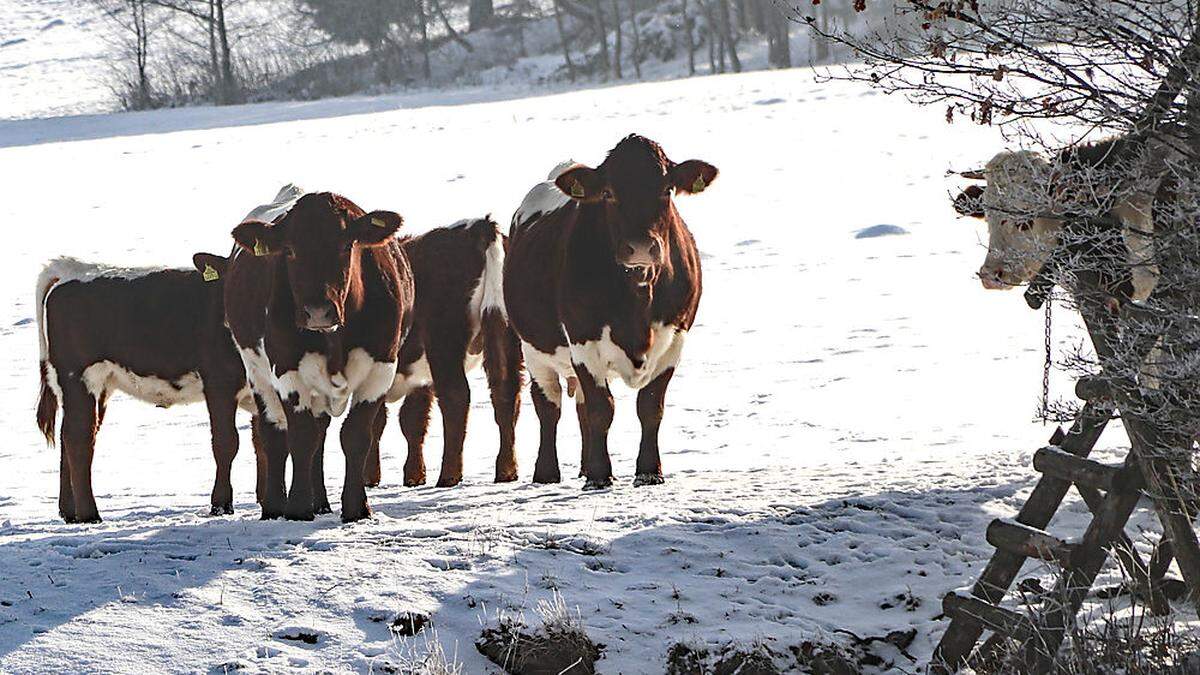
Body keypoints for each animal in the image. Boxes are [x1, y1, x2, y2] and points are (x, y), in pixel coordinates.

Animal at [36, 252, 252, 521]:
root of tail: (70, 267)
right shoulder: (220, 382)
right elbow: (226, 442)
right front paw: (221, 506)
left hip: (95, 385)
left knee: (73, 435)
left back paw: (69, 512)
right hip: (79, 376)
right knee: (78, 437)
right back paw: (89, 515)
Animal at [224, 189, 412, 521]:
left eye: (346, 244)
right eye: (289, 250)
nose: (318, 312)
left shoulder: (381, 368)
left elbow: (355, 436)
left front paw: (356, 508)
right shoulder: (286, 370)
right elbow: (301, 438)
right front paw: (298, 508)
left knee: (321, 436)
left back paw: (321, 502)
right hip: (257, 373)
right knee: (274, 435)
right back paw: (274, 507)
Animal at [364, 218, 525, 485]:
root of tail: (479, 226)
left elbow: (378, 422)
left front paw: (369, 477)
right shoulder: (418, 378)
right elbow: (411, 421)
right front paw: (414, 475)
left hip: (444, 341)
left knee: (456, 397)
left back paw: (449, 475)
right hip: (505, 336)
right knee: (506, 393)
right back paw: (506, 470)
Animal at [501, 133, 715, 485]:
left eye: (667, 188)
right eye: (608, 193)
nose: (640, 247)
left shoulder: (675, 340)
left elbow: (650, 407)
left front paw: (648, 471)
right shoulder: (583, 340)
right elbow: (602, 409)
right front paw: (601, 476)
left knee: (580, 408)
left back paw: (584, 466)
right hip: (533, 349)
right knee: (549, 405)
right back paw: (547, 473)